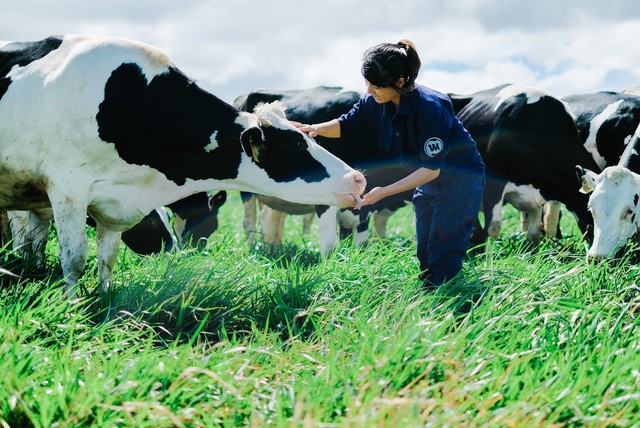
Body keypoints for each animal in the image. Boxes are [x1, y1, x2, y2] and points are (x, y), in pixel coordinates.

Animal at [232, 86, 412, 254]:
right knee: (249, 222)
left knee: (270, 221)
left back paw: (273, 252)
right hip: (248, 192)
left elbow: (364, 241)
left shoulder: (362, 209)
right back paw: (252, 252)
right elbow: (330, 245)